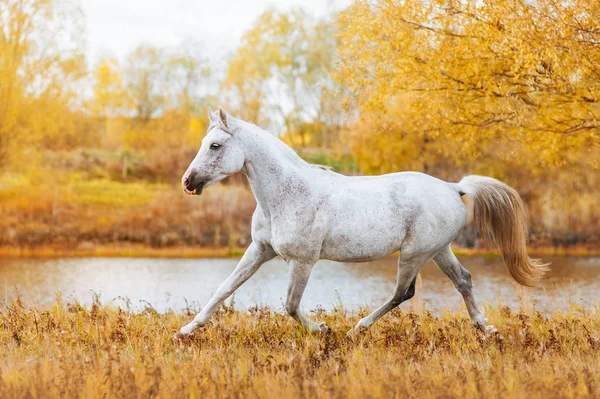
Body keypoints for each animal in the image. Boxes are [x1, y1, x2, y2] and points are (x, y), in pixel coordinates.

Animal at [175, 106, 548, 338]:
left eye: (215, 145)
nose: (188, 182)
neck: (285, 195)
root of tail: (453, 188)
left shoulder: (304, 260)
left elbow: (291, 305)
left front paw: (321, 330)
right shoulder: (260, 250)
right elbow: (224, 289)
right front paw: (186, 331)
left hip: (414, 254)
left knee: (403, 292)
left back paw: (358, 328)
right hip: (439, 250)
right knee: (463, 281)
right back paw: (486, 329)